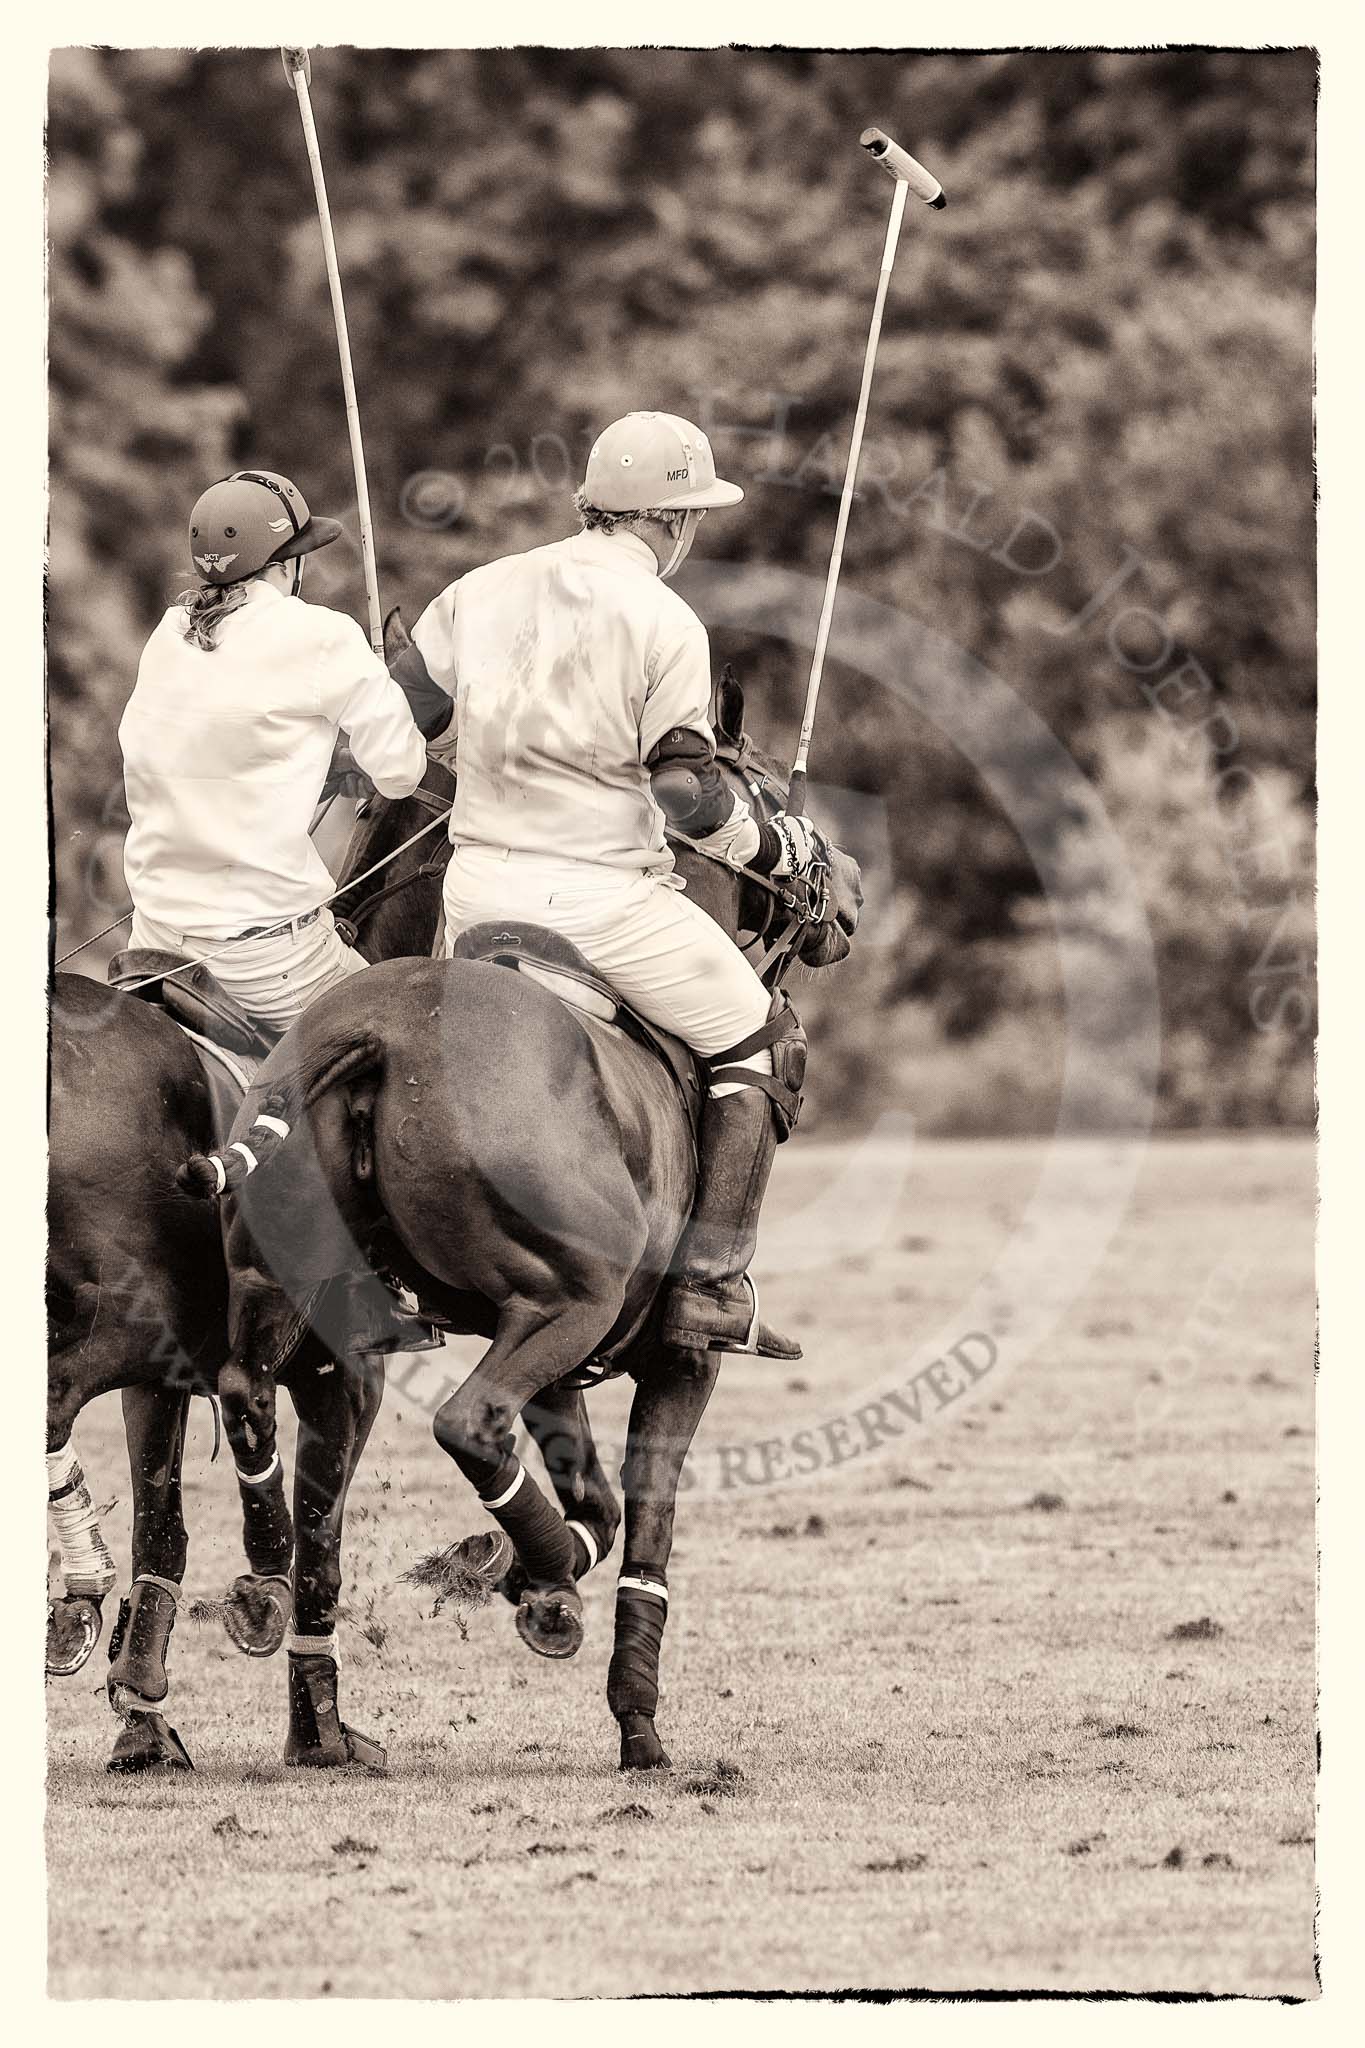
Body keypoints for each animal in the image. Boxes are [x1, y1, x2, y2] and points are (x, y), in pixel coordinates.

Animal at [189, 659, 863, 1777]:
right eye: (768, 789)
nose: (847, 892)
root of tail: (374, 1034)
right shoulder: (672, 1356)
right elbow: (647, 1521)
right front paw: (636, 1719)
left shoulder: (561, 1361)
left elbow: (595, 1496)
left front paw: (506, 1568)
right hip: (566, 1298)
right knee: (467, 1418)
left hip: (298, 1281)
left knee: (248, 1389)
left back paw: (274, 1583)